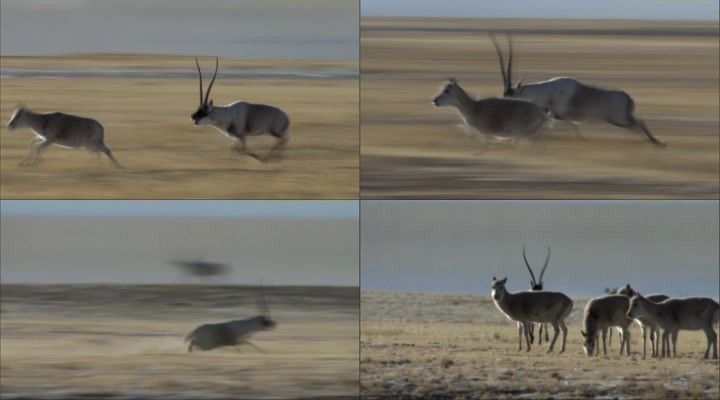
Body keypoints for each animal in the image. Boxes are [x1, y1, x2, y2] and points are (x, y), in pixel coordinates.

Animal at [486, 34, 668, 147]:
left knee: (639, 123)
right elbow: (569, 125)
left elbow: (556, 124)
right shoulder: (555, 114)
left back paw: (656, 142)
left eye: (510, 96)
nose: (501, 109)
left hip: (620, 120)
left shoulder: (558, 115)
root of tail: (629, 98)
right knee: (637, 125)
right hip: (622, 120)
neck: (546, 90)